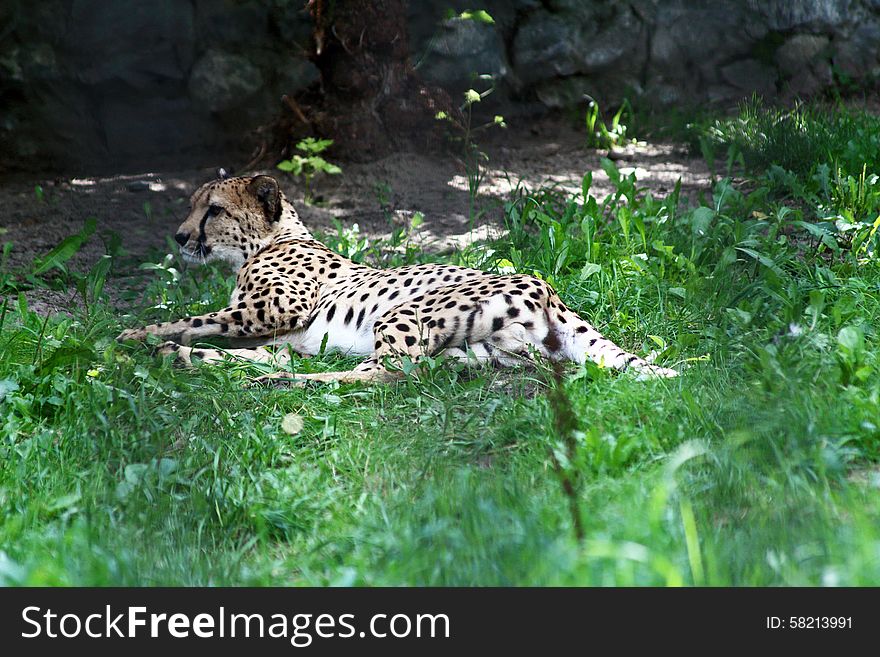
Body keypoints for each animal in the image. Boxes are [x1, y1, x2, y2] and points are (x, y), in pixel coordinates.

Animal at [117, 173, 676, 384]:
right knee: (430, 367)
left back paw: (290, 382)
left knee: (381, 373)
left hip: (400, 316)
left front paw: (133, 336)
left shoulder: (271, 311)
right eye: (194, 205)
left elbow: (187, 319)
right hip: (480, 347)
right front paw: (179, 352)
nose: (179, 236)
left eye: (212, 210)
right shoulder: (275, 333)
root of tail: (544, 287)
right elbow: (228, 344)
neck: (272, 240)